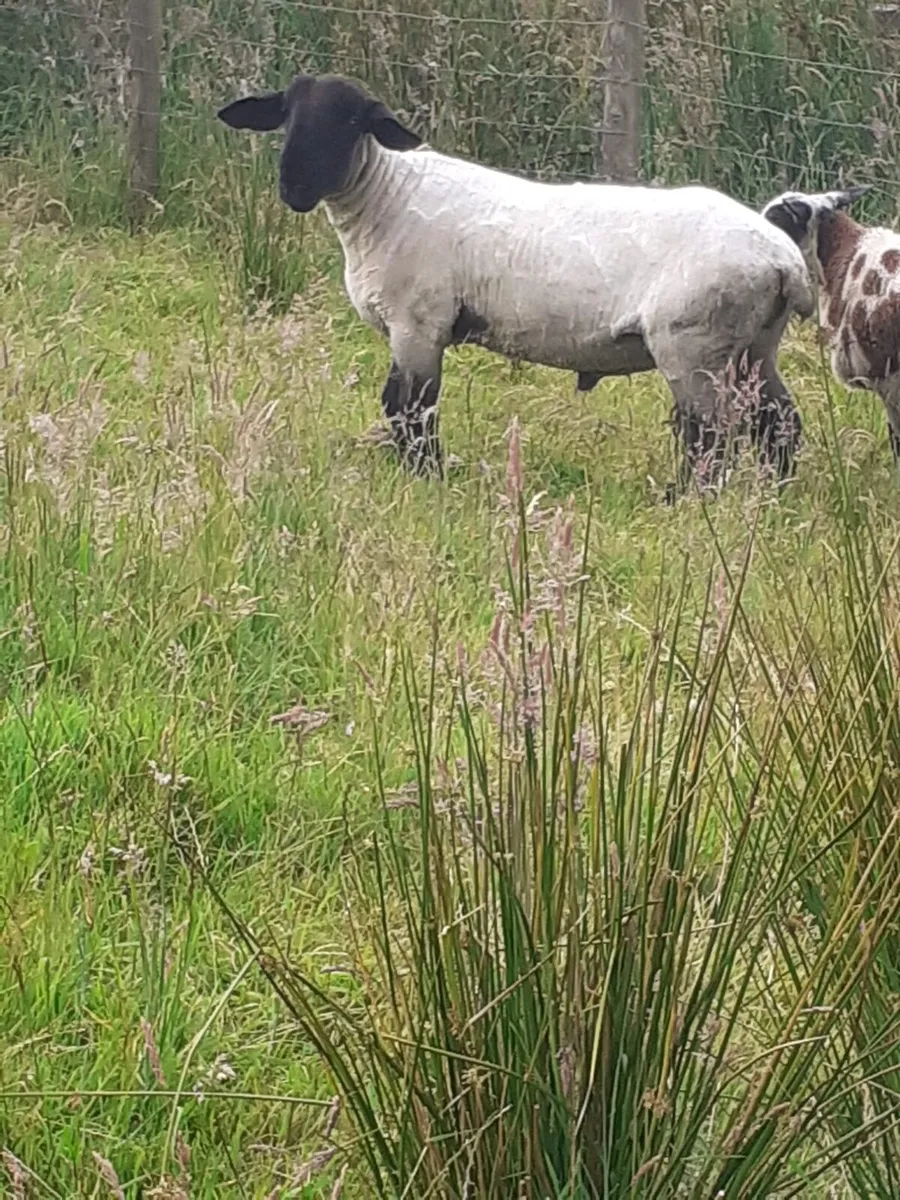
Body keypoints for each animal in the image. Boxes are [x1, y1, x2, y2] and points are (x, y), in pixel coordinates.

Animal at [217, 73, 815, 487]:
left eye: (349, 122)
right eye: (288, 116)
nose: (293, 187)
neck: (385, 196)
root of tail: (784, 260)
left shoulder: (419, 323)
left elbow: (412, 406)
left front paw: (427, 477)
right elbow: (400, 405)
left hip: (694, 345)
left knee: (711, 433)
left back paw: (686, 499)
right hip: (754, 345)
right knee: (778, 422)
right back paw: (775, 493)